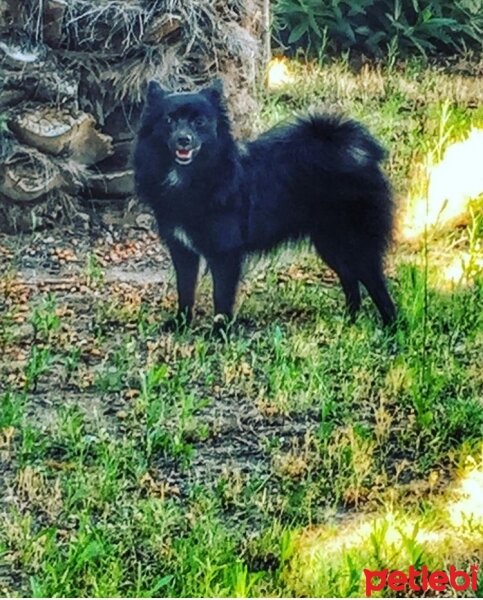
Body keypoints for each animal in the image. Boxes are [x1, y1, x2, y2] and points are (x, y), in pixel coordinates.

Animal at [133, 78, 398, 328]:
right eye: (169, 120)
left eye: (200, 122)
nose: (183, 140)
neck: (192, 177)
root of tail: (355, 155)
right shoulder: (182, 249)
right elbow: (185, 291)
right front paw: (181, 324)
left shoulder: (225, 253)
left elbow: (222, 297)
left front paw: (220, 331)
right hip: (330, 243)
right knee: (350, 280)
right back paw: (349, 321)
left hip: (356, 243)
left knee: (377, 286)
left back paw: (391, 327)